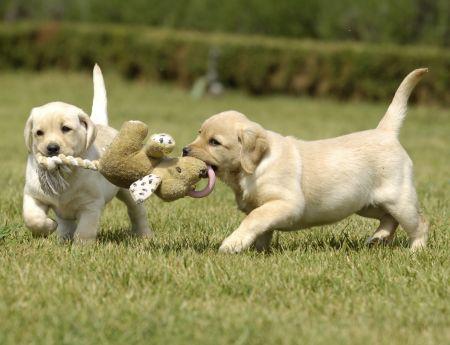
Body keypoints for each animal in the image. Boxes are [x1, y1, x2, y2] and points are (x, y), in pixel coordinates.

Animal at [23, 65, 149, 242]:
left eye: (66, 128)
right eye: (39, 133)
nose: (52, 148)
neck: (64, 174)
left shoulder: (91, 205)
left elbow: (85, 230)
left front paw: (81, 246)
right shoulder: (33, 194)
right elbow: (32, 218)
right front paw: (49, 226)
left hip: (127, 190)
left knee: (137, 213)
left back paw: (145, 235)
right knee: (66, 223)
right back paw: (62, 238)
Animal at [185, 68, 428, 251]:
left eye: (214, 142)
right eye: (199, 133)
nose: (185, 151)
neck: (255, 167)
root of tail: (385, 132)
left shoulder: (286, 203)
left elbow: (254, 218)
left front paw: (232, 244)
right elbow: (262, 227)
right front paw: (258, 251)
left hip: (399, 198)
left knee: (420, 223)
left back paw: (415, 250)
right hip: (364, 202)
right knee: (389, 218)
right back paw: (378, 238)